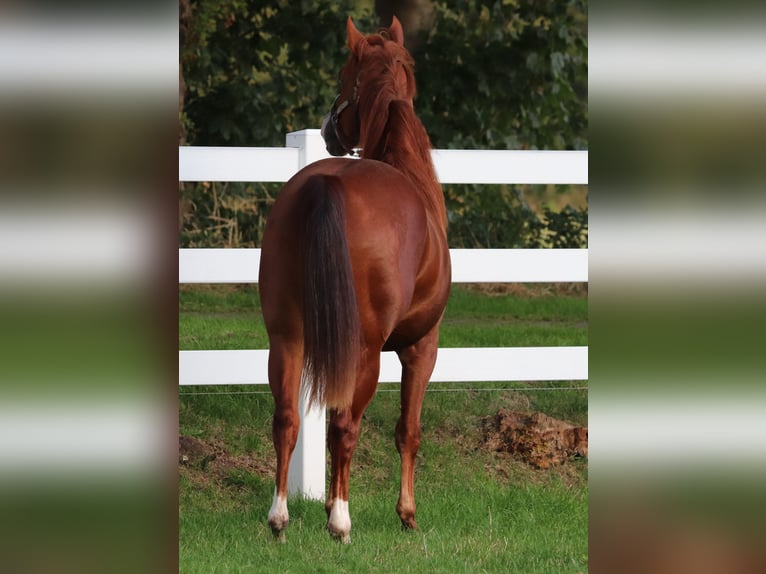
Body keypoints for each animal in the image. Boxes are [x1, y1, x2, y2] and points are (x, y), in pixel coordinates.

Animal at [258, 16, 450, 543]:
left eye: (345, 76)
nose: (328, 128)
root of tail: (326, 182)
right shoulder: (422, 346)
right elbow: (408, 430)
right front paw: (406, 513)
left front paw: (325, 503)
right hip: (366, 351)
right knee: (346, 425)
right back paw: (341, 522)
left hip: (287, 338)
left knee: (287, 418)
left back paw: (280, 518)